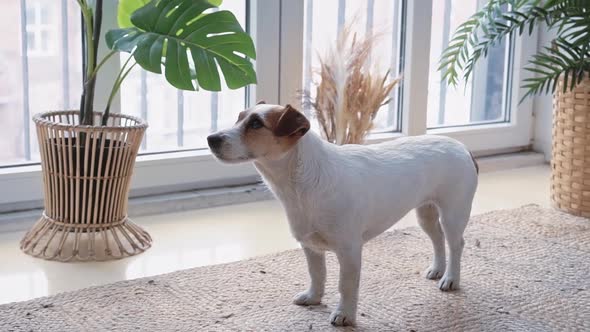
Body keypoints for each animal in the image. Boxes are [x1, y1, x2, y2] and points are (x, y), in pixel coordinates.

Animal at [209, 103, 480, 326]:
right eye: (239, 118)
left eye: (256, 123)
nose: (211, 138)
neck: (300, 184)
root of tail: (463, 148)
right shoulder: (311, 247)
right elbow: (317, 275)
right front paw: (314, 297)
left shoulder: (349, 250)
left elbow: (346, 285)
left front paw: (345, 315)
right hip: (425, 214)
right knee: (437, 240)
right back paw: (438, 269)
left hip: (453, 215)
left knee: (456, 244)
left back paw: (451, 278)